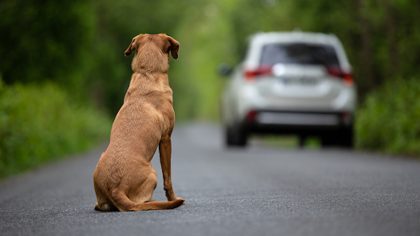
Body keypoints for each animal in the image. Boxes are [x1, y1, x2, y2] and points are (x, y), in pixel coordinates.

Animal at [93, 33, 184, 212]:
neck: (147, 73)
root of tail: (115, 189)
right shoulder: (166, 139)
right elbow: (168, 177)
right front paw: (173, 198)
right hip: (152, 173)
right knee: (142, 202)